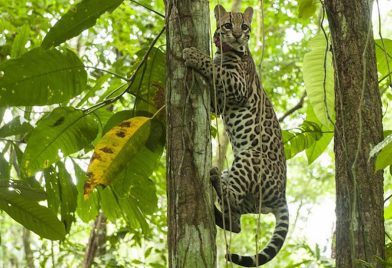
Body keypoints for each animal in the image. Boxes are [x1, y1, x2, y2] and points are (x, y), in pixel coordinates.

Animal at [182, 4, 290, 268]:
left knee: (234, 200)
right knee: (237, 221)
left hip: (249, 159)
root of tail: (282, 197)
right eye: (229, 24)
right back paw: (217, 209)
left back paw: (215, 184)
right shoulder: (219, 104)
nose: (240, 36)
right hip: (235, 176)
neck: (230, 51)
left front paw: (192, 54)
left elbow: (214, 68)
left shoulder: (237, 85)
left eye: (245, 26)